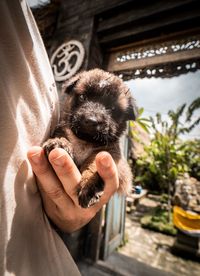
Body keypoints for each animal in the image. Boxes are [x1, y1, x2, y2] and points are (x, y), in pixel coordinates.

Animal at [43, 68, 138, 207]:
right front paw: (60, 143)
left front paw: (89, 187)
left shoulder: (108, 154)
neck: (84, 141)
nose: (91, 121)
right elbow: (62, 136)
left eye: (112, 108)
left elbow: (93, 167)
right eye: (83, 97)